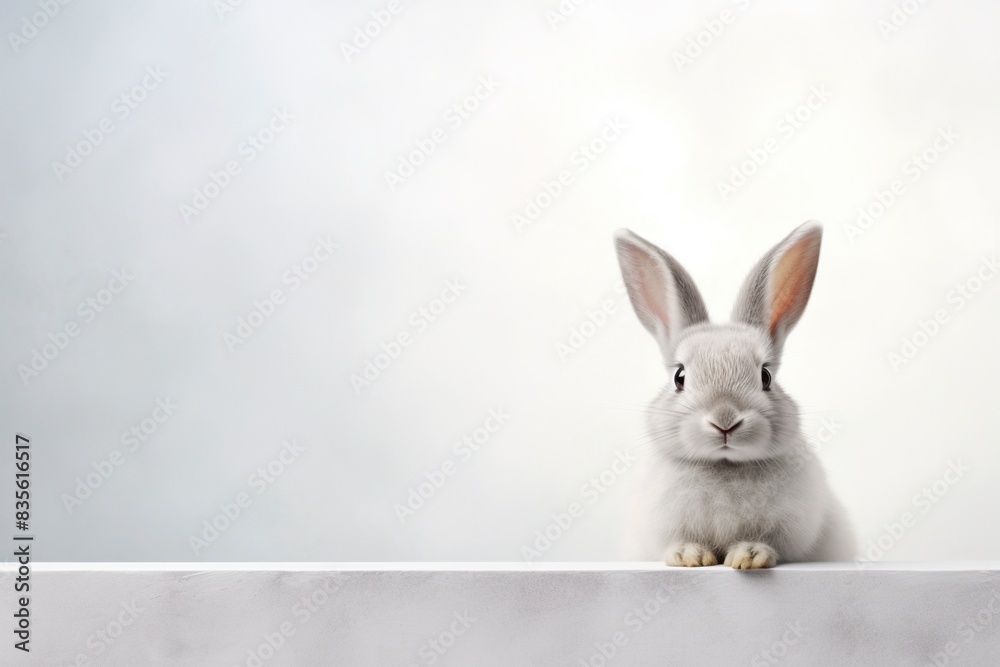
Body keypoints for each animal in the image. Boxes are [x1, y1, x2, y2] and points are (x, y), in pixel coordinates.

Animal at [615, 222, 854, 569]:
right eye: (679, 377)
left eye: (766, 376)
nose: (725, 420)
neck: (724, 466)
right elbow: (677, 541)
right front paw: (690, 557)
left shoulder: (791, 530)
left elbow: (770, 543)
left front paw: (749, 557)